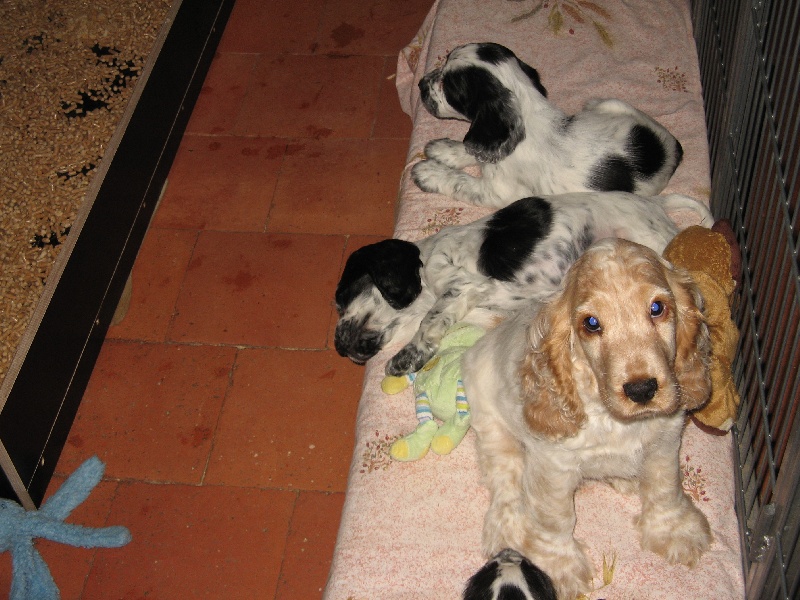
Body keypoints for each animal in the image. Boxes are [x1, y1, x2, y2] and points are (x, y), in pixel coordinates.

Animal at [334, 191, 708, 376]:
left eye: (342, 297)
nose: (337, 346)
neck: (424, 271)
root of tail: (655, 204)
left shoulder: (462, 284)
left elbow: (429, 322)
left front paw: (407, 357)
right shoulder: (481, 312)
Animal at [412, 42, 680, 209]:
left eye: (447, 86)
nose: (421, 84)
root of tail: (674, 150)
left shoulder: (499, 191)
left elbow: (460, 181)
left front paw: (429, 172)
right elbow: (471, 148)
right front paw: (444, 150)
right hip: (611, 104)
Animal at [462, 239, 712, 600]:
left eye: (657, 308)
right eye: (591, 324)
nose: (641, 389)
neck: (615, 420)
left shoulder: (664, 442)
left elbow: (665, 487)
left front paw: (675, 531)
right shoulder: (553, 466)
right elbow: (555, 517)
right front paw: (557, 566)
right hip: (489, 417)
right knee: (505, 477)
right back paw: (507, 528)